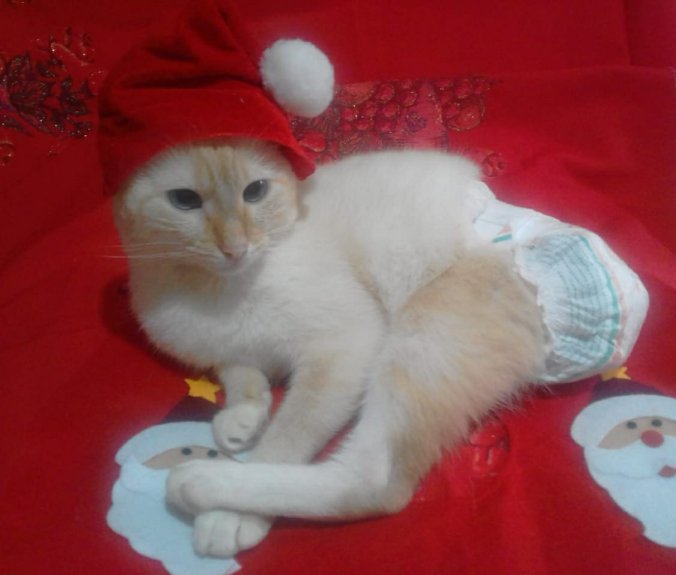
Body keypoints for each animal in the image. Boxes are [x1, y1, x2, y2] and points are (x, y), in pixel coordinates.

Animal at [114, 139, 548, 557]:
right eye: (184, 200)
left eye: (255, 192)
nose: (236, 248)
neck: (212, 289)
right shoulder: (228, 354)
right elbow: (243, 378)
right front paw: (241, 422)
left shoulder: (342, 346)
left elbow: (288, 435)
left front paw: (232, 520)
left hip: (422, 339)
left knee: (374, 480)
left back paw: (202, 485)